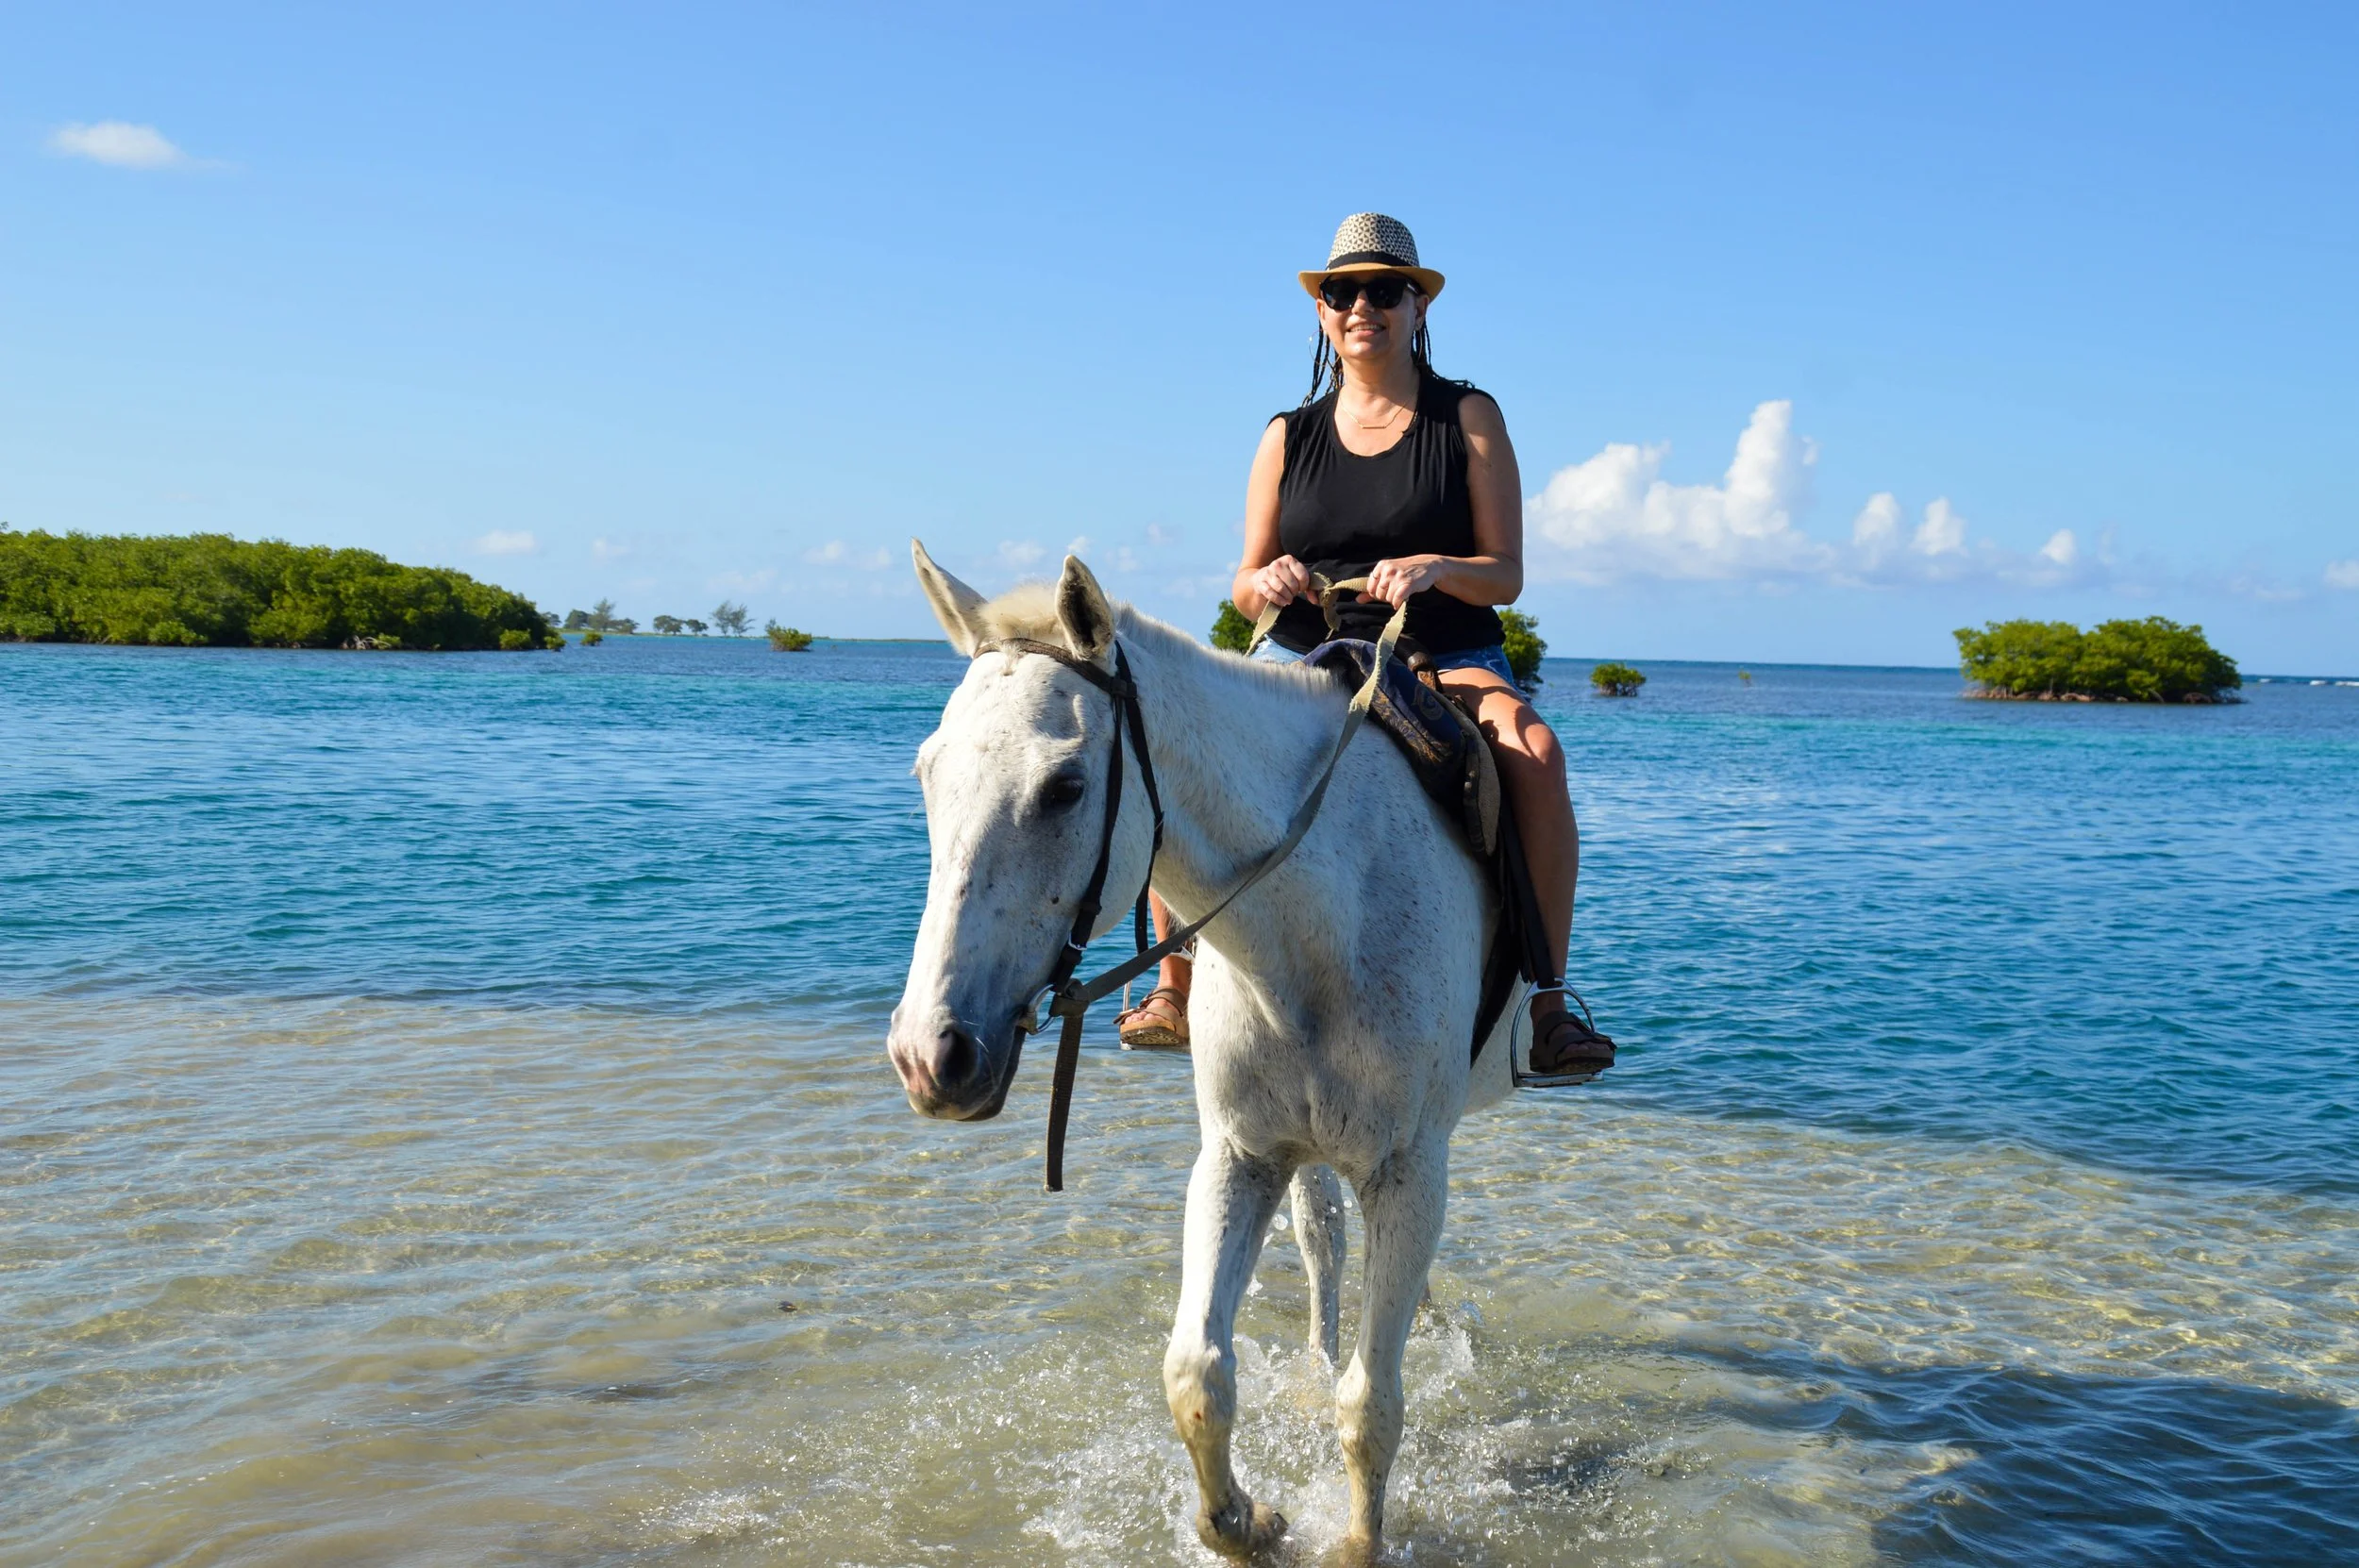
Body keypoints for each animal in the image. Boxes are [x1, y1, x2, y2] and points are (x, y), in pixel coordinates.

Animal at [887, 542, 1517, 1565]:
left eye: (1065, 787)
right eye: (927, 774)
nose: (928, 1055)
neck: (1319, 920)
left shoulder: (1407, 1167)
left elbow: (1371, 1407)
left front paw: (1354, 1544)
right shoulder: (1241, 1156)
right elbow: (1196, 1373)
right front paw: (1245, 1523)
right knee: (1324, 1245)